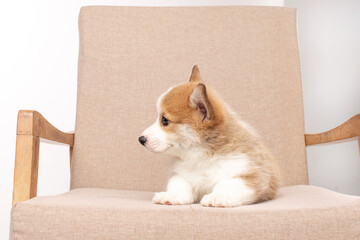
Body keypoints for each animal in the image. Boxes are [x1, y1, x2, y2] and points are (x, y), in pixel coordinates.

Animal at [139, 66, 280, 208]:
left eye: (165, 120)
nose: (141, 139)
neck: (200, 155)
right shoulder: (181, 175)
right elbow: (179, 184)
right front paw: (171, 195)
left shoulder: (250, 175)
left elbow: (226, 183)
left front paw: (218, 196)